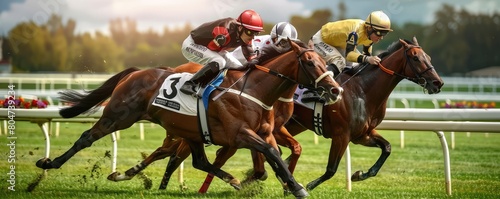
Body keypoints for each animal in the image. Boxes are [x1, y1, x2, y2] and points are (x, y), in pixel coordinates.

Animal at [33, 39, 342, 197]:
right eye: (311, 63)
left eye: (325, 62)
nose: (336, 90)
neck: (253, 90)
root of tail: (135, 72)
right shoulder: (241, 134)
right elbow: (271, 153)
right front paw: (297, 188)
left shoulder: (266, 131)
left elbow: (276, 157)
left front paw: (289, 184)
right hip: (119, 117)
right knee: (87, 137)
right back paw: (48, 164)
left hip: (190, 130)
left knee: (199, 161)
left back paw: (231, 179)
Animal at [150, 36, 444, 192]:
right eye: (416, 58)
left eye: (429, 57)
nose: (438, 83)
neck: (363, 90)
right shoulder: (342, 134)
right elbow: (330, 169)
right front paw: (307, 185)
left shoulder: (363, 134)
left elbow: (388, 148)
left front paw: (360, 174)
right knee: (179, 154)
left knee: (211, 155)